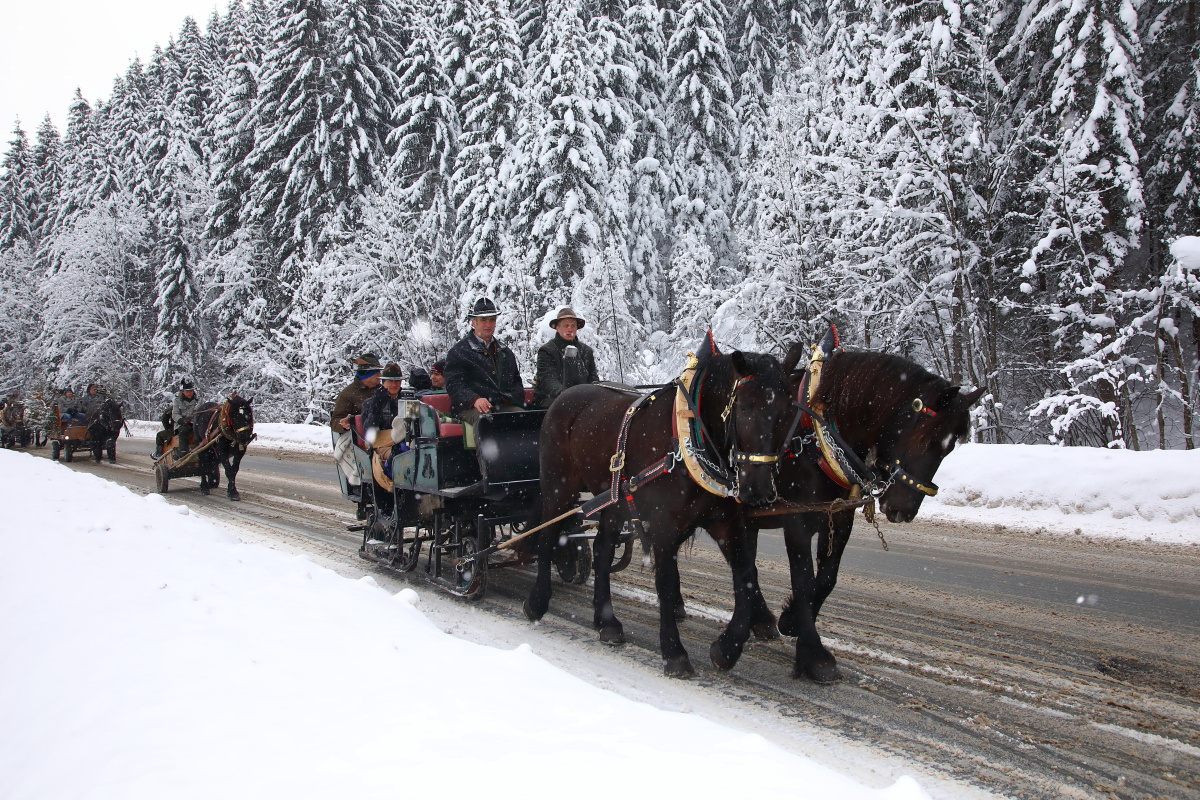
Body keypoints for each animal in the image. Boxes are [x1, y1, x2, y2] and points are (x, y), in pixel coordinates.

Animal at [523, 340, 796, 681]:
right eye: (745, 408)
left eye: (787, 412)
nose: (757, 490)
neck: (688, 440)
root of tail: (564, 397)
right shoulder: (665, 526)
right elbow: (666, 582)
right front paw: (674, 653)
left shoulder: (725, 522)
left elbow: (746, 575)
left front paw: (727, 648)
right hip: (558, 489)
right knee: (548, 538)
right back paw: (537, 603)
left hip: (613, 498)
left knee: (601, 550)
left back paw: (606, 622)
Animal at [748, 345, 984, 681]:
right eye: (926, 439)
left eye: (949, 448)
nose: (903, 510)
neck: (815, 437)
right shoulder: (796, 520)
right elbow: (803, 581)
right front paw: (813, 655)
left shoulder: (838, 517)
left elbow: (827, 579)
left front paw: (791, 621)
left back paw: (760, 619)